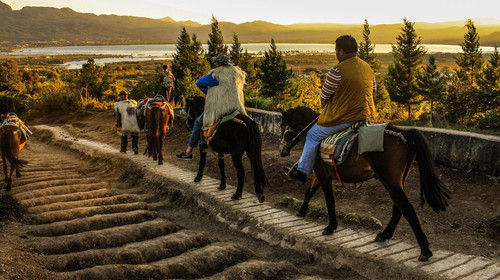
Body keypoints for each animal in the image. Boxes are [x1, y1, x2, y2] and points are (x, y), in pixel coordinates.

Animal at [280, 106, 452, 262]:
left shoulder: (322, 175)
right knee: (399, 208)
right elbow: (309, 192)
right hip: (399, 180)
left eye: (283, 127)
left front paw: (330, 227)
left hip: (390, 181)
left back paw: (424, 250)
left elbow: (329, 200)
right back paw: (384, 235)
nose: (282, 151)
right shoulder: (320, 174)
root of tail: (404, 134)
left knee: (407, 209)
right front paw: (301, 211)